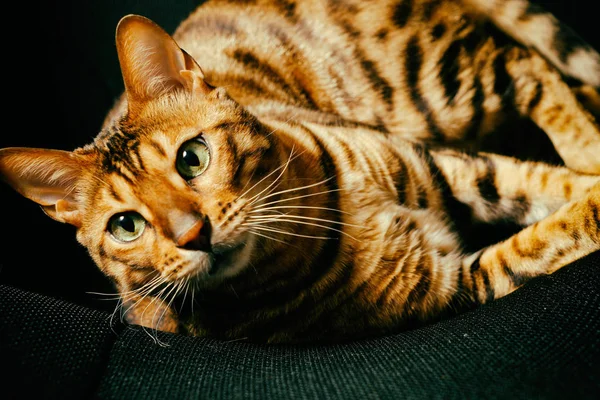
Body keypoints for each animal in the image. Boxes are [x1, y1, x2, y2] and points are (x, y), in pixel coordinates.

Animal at [1, 0, 600, 344]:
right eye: (126, 226)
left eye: (192, 157)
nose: (194, 235)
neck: (315, 229)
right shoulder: (458, 282)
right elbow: (545, 236)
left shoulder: (445, 166)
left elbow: (545, 184)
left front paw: (587, 180)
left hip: (437, 83)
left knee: (534, 71)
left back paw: (587, 143)